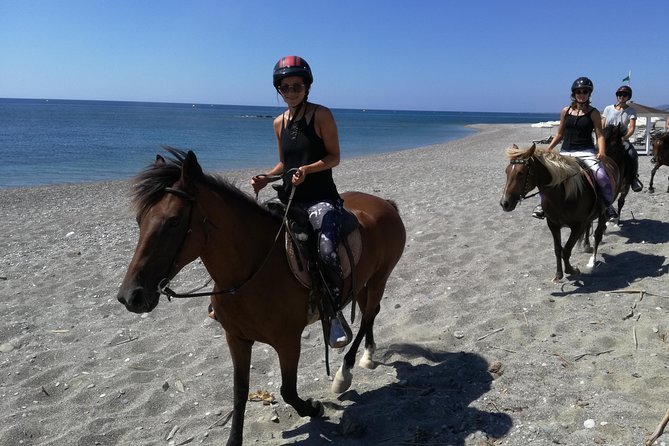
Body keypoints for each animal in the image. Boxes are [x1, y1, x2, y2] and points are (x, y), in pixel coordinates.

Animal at [116, 148, 406, 446]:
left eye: (173, 221)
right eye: (139, 220)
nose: (130, 295)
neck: (252, 270)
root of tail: (384, 204)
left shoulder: (288, 341)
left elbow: (288, 389)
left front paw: (313, 408)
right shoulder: (237, 338)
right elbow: (240, 392)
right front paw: (234, 440)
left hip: (379, 277)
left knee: (368, 316)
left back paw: (344, 373)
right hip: (362, 283)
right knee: (371, 313)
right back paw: (368, 355)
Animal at [499, 138, 624, 282]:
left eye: (521, 173)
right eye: (507, 171)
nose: (504, 203)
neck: (563, 196)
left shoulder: (577, 226)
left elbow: (567, 249)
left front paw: (572, 270)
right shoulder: (553, 225)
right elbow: (558, 249)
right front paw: (558, 274)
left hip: (602, 212)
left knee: (597, 236)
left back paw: (592, 260)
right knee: (589, 227)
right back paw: (586, 246)